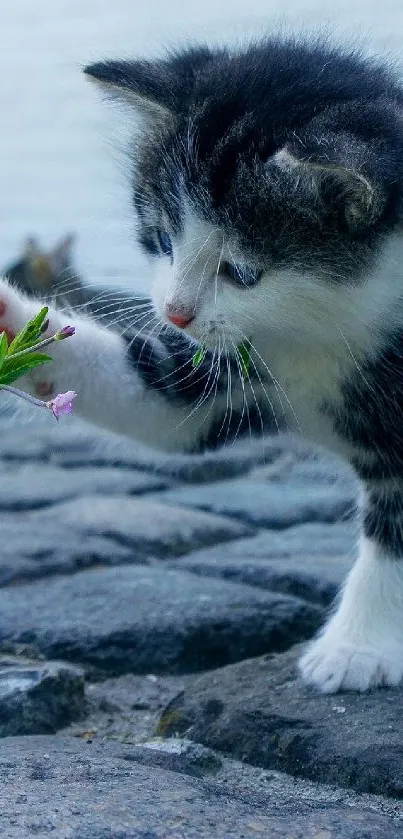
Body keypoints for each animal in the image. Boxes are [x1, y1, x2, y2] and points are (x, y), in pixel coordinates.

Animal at [1, 36, 402, 692]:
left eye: (241, 272)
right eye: (163, 239)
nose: (175, 312)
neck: (327, 330)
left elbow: (394, 532)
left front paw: (356, 648)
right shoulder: (238, 363)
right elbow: (163, 407)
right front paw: (9, 317)